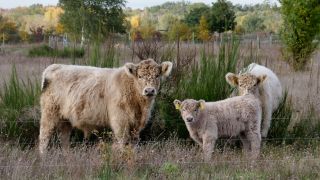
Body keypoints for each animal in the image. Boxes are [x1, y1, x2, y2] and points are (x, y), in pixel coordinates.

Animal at [39, 58, 172, 154]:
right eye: (140, 76)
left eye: (157, 75)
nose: (149, 90)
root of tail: (55, 66)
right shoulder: (120, 122)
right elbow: (123, 142)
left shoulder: (136, 126)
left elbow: (133, 143)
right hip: (49, 114)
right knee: (44, 137)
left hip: (65, 119)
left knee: (64, 138)